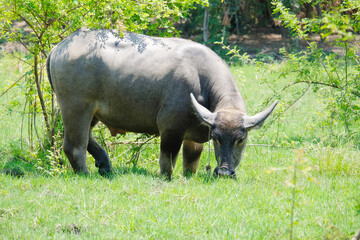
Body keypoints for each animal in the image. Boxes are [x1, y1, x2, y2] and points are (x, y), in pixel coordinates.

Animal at [47, 28, 278, 178]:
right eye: (217, 138)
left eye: (240, 139)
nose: (224, 172)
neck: (201, 80)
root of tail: (60, 46)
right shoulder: (171, 127)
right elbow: (167, 160)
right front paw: (167, 178)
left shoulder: (194, 136)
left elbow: (191, 161)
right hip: (76, 108)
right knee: (74, 145)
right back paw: (86, 173)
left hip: (93, 112)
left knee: (87, 137)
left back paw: (105, 165)